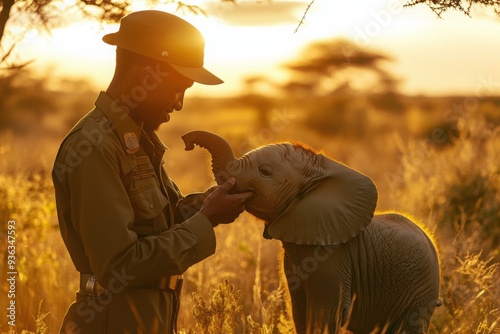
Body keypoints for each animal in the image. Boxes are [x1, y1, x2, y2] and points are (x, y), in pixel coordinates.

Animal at [182, 131, 440, 334]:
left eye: (264, 171)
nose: (186, 142)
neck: (319, 173)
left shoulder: (331, 258)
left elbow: (322, 315)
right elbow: (300, 314)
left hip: (421, 292)